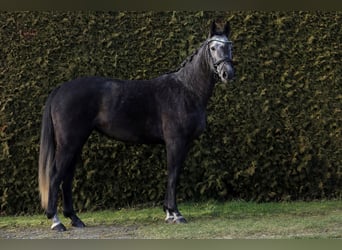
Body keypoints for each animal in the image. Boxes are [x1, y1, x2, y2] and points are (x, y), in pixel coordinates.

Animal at [38, 20, 235, 231]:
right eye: (213, 47)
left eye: (230, 46)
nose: (227, 73)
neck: (186, 89)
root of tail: (60, 89)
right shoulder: (176, 141)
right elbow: (173, 174)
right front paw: (175, 213)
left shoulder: (185, 142)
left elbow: (174, 174)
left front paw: (168, 213)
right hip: (69, 142)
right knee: (56, 175)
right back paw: (56, 221)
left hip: (77, 141)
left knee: (67, 176)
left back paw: (75, 219)